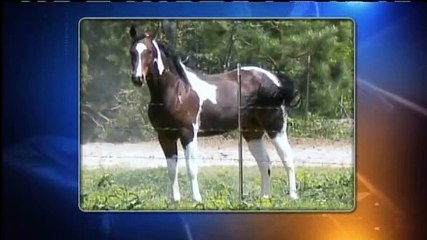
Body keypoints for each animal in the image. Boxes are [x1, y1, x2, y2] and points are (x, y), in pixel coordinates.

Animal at [129, 25, 300, 202]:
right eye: (132, 51)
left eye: (149, 51)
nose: (137, 78)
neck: (178, 91)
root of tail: (275, 80)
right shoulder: (164, 136)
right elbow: (171, 169)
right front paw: (175, 201)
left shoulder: (188, 133)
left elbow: (191, 168)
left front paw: (197, 200)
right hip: (252, 132)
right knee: (264, 162)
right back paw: (264, 197)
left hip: (276, 128)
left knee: (287, 158)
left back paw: (293, 196)